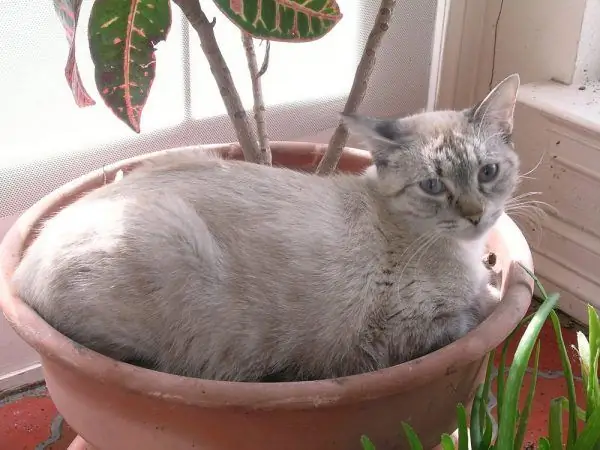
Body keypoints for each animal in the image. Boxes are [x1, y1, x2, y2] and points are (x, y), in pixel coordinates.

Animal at [12, 73, 520, 380]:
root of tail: (18, 274)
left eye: (488, 172)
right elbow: (481, 309)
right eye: (433, 185)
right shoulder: (404, 335)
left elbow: (488, 297)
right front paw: (491, 295)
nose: (475, 214)